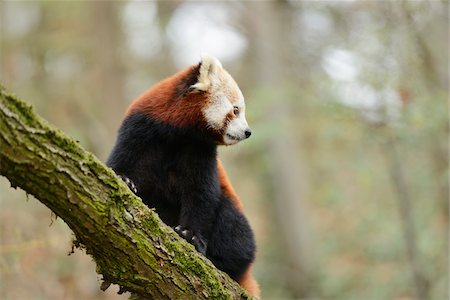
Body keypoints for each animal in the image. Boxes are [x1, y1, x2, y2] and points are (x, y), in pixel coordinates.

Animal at [107, 54, 258, 298]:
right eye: (236, 110)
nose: (248, 132)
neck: (178, 134)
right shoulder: (139, 130)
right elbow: (121, 161)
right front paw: (124, 179)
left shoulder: (199, 152)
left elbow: (202, 195)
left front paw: (190, 235)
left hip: (234, 216)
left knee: (233, 230)